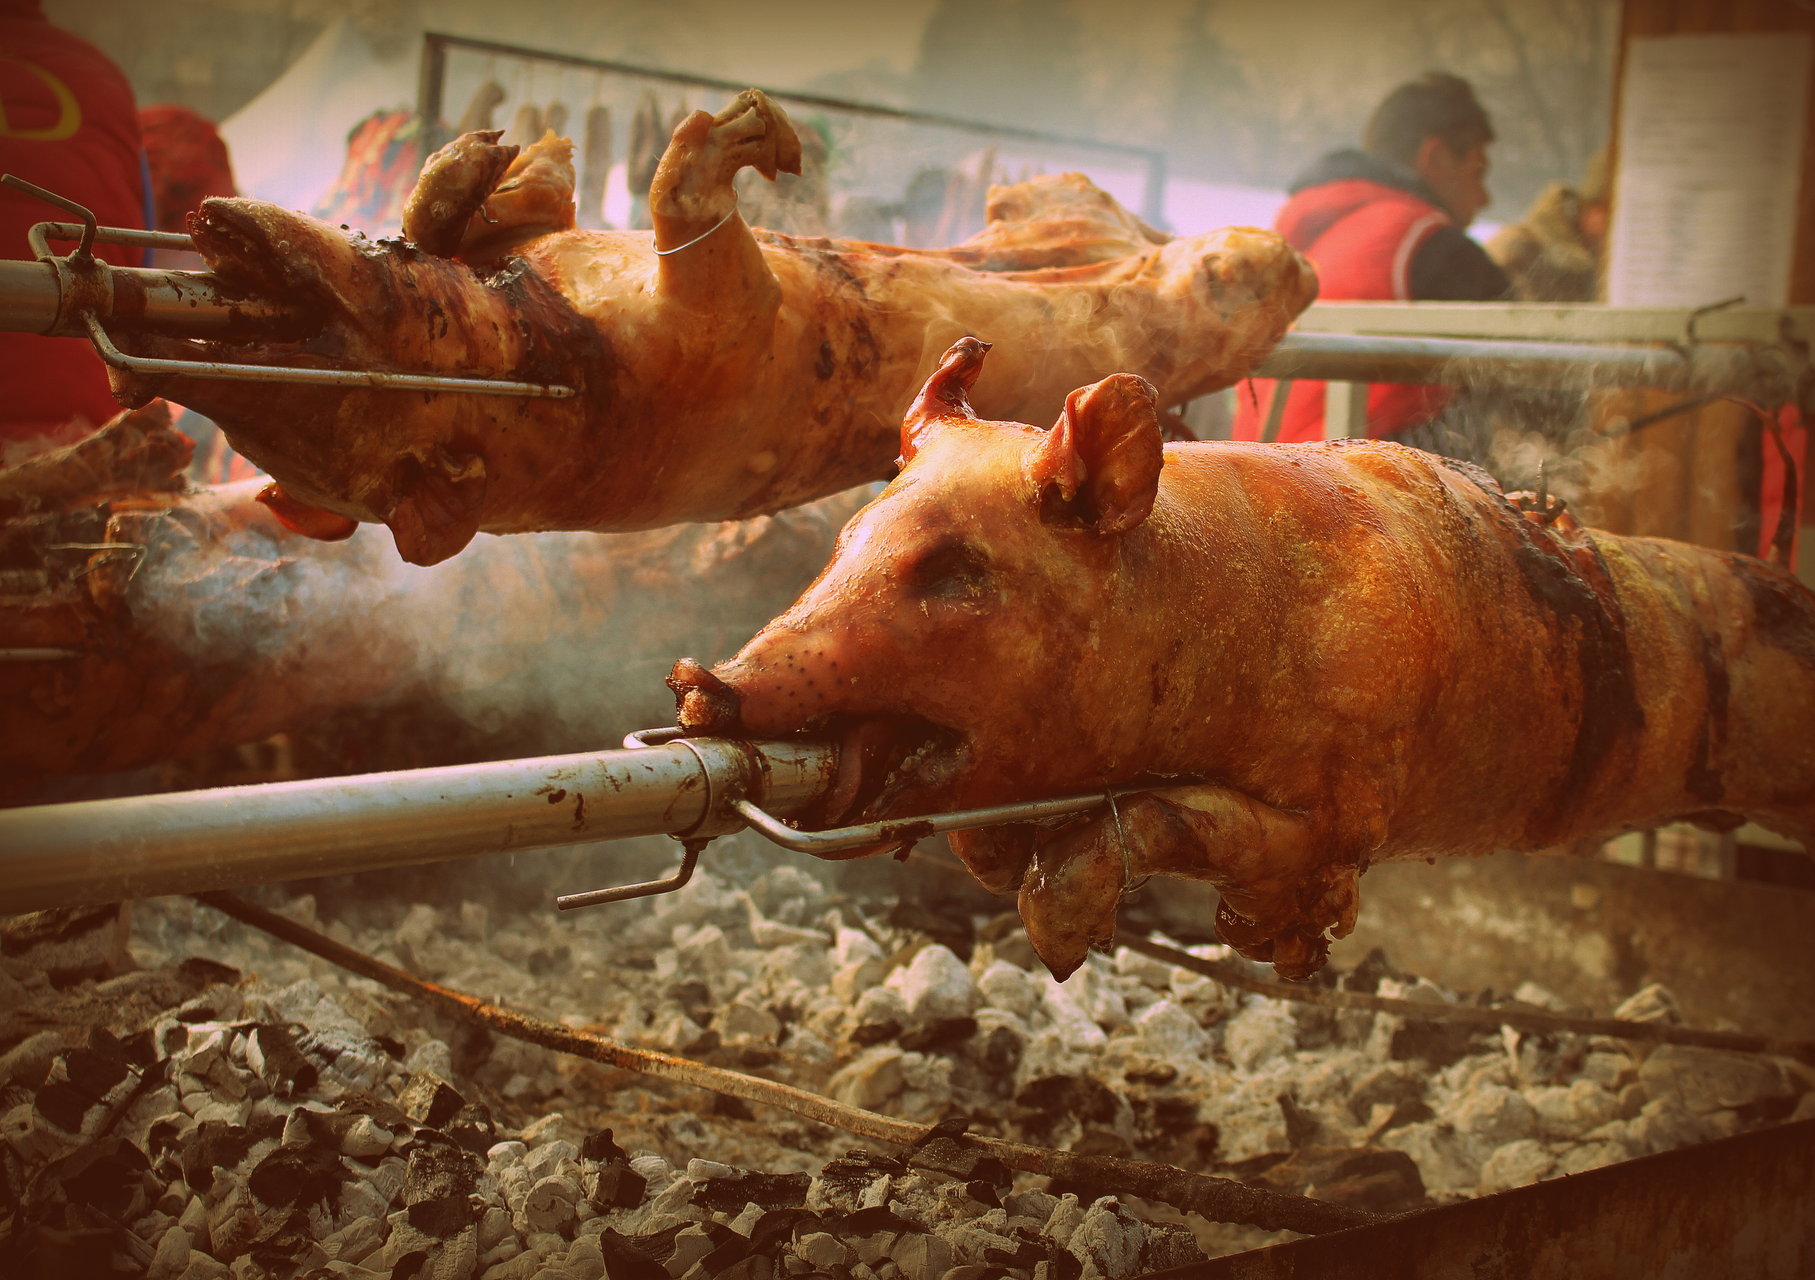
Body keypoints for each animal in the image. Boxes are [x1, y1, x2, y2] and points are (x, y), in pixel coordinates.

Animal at [670, 337, 1815, 981]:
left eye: (957, 570)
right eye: (846, 537)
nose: (705, 684)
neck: (1207, 609)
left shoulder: (1341, 809)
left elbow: (1165, 822)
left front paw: (1063, 949)